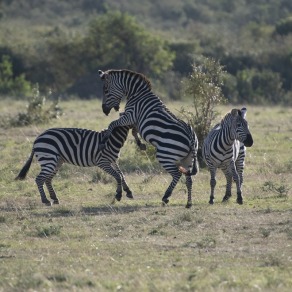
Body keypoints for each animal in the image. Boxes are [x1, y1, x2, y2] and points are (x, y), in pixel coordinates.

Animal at [14, 125, 145, 205]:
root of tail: (37, 138)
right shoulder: (103, 162)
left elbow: (121, 175)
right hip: (48, 158)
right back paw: (45, 200)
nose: (142, 144)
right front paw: (118, 195)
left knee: (47, 179)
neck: (112, 139)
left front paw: (128, 191)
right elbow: (117, 176)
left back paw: (54, 198)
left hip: (56, 161)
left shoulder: (113, 161)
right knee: (39, 179)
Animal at [97, 68, 198, 208]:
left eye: (106, 90)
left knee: (177, 174)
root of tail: (191, 137)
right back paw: (188, 203)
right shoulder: (134, 120)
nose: (104, 111)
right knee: (189, 179)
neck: (137, 94)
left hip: (165, 155)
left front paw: (104, 140)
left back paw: (166, 196)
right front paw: (141, 144)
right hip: (187, 159)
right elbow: (134, 131)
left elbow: (112, 124)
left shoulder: (130, 115)